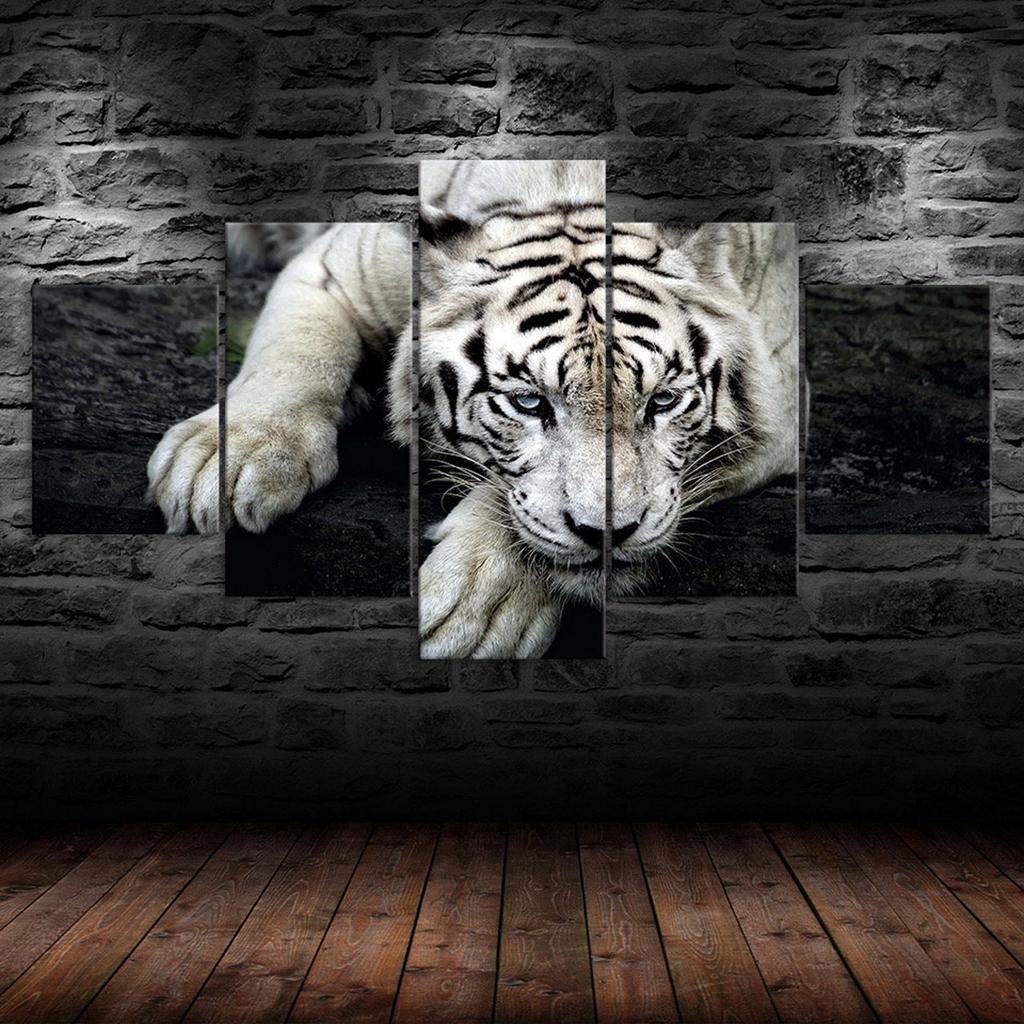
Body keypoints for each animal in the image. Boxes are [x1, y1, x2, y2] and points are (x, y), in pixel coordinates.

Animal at [148, 160, 797, 659]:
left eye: (662, 401)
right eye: (528, 401)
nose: (608, 535)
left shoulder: (782, 405)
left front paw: (474, 607)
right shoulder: (334, 266)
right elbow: (291, 353)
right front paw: (219, 464)